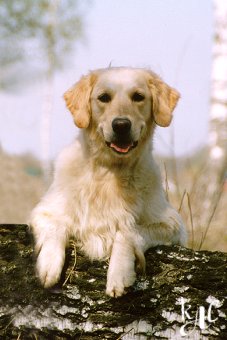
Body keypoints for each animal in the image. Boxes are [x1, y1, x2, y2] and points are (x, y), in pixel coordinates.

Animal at [29, 67, 186, 296]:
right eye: (104, 97)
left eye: (138, 96)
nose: (121, 125)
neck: (110, 172)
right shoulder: (45, 210)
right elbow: (56, 225)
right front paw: (49, 266)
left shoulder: (173, 225)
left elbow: (128, 231)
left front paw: (119, 274)